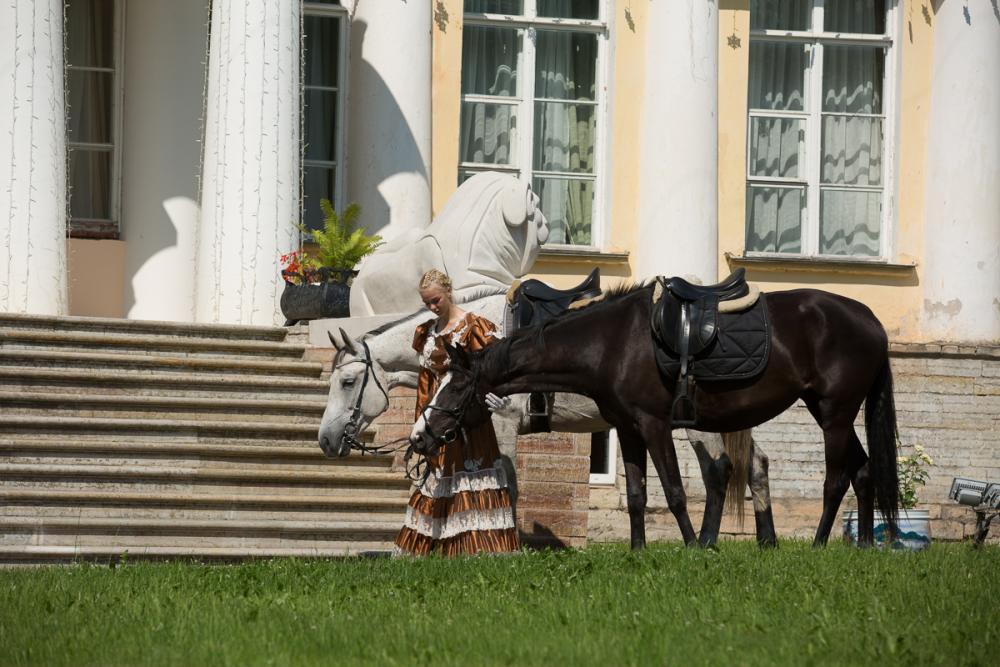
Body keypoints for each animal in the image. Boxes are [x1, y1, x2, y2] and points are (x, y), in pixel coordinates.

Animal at [316, 290, 778, 547]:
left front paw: (511, 544)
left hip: (695, 425)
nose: (326, 440)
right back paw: (765, 542)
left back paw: (708, 542)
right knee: (754, 464)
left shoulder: (502, 425)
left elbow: (508, 483)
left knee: (719, 470)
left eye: (348, 381)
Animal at [410, 283, 900, 549]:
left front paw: (693, 548)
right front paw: (639, 551)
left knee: (834, 479)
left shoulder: (654, 424)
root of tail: (871, 319)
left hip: (835, 413)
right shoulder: (628, 429)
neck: (610, 344)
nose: (419, 437)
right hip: (828, 413)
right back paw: (864, 546)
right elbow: (637, 495)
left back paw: (816, 544)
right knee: (863, 471)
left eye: (456, 386)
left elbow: (675, 491)